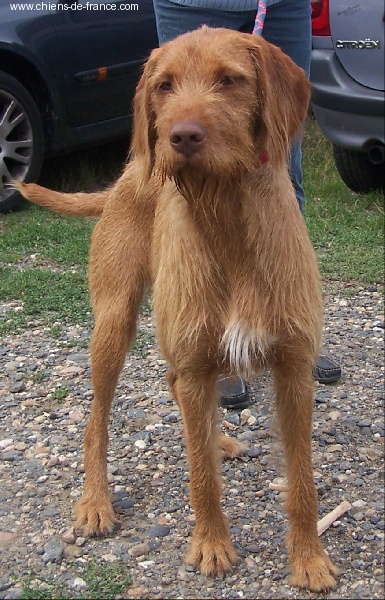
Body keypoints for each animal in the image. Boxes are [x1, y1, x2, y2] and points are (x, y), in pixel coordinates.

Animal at [16, 27, 338, 592]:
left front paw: (309, 558)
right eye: (164, 85)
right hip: (115, 322)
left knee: (176, 392)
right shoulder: (195, 359)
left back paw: (219, 439)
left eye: (229, 79)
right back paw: (96, 502)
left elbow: (303, 481)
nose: (181, 136)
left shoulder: (294, 367)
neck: (227, 212)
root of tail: (127, 173)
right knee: (96, 421)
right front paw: (211, 545)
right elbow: (201, 478)